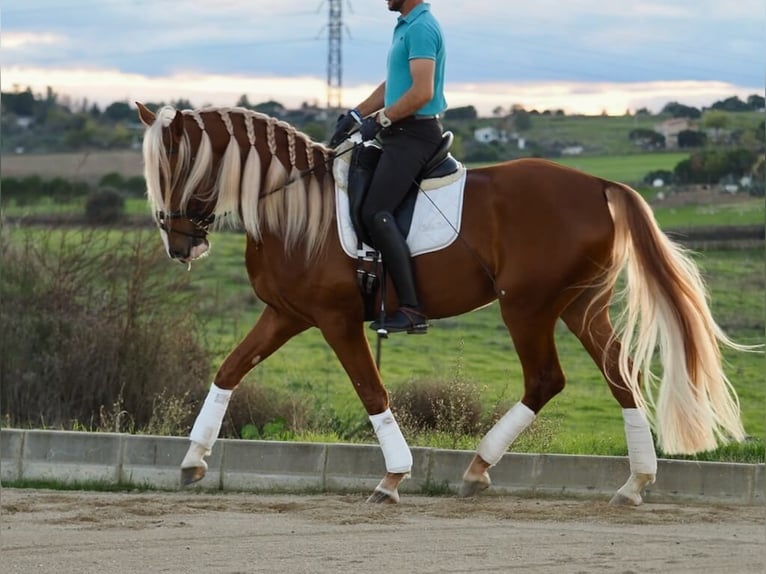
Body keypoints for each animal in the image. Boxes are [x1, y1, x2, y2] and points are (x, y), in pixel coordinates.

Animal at [138, 101, 752, 506]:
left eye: (175, 169)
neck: (292, 206)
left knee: (547, 378)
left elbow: (370, 389)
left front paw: (393, 478)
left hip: (527, 305)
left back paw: (484, 467)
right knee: (617, 372)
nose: (180, 245)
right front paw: (193, 460)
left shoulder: (336, 319)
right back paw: (632, 482)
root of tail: (599, 185)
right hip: (577, 303)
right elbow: (229, 369)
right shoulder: (286, 314)